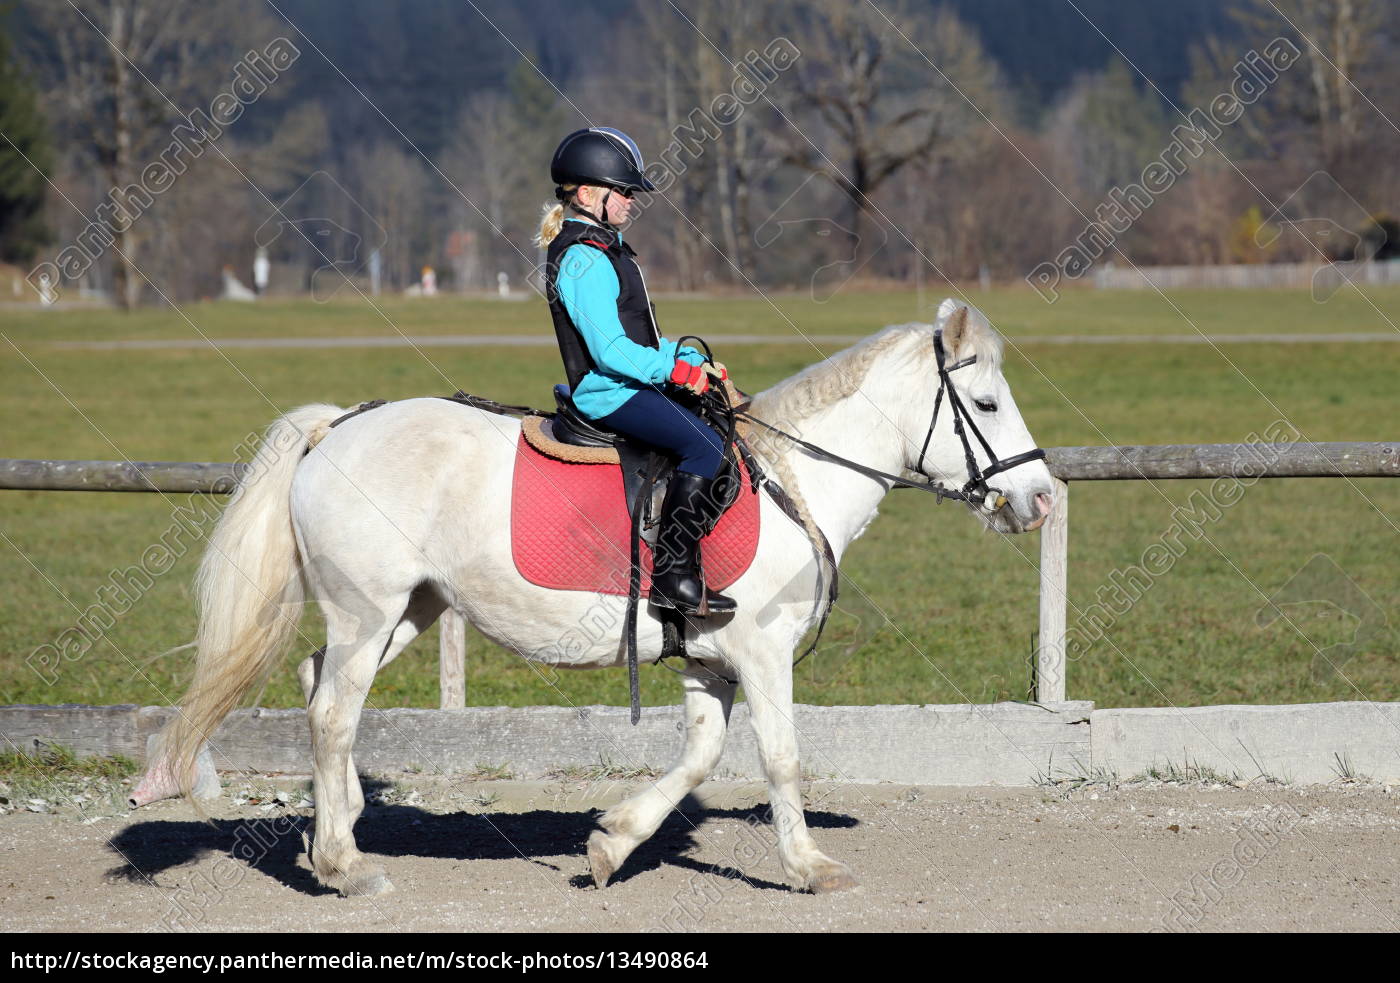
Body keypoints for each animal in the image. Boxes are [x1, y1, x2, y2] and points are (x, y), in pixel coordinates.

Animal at [139, 299, 1052, 901]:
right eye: (985, 403)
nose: (1039, 498)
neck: (792, 478)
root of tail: (339, 425)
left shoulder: (710, 662)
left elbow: (700, 756)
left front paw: (614, 842)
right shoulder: (762, 651)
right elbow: (782, 757)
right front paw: (808, 867)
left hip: (407, 609)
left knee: (317, 683)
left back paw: (341, 821)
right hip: (370, 610)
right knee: (332, 711)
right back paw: (343, 864)